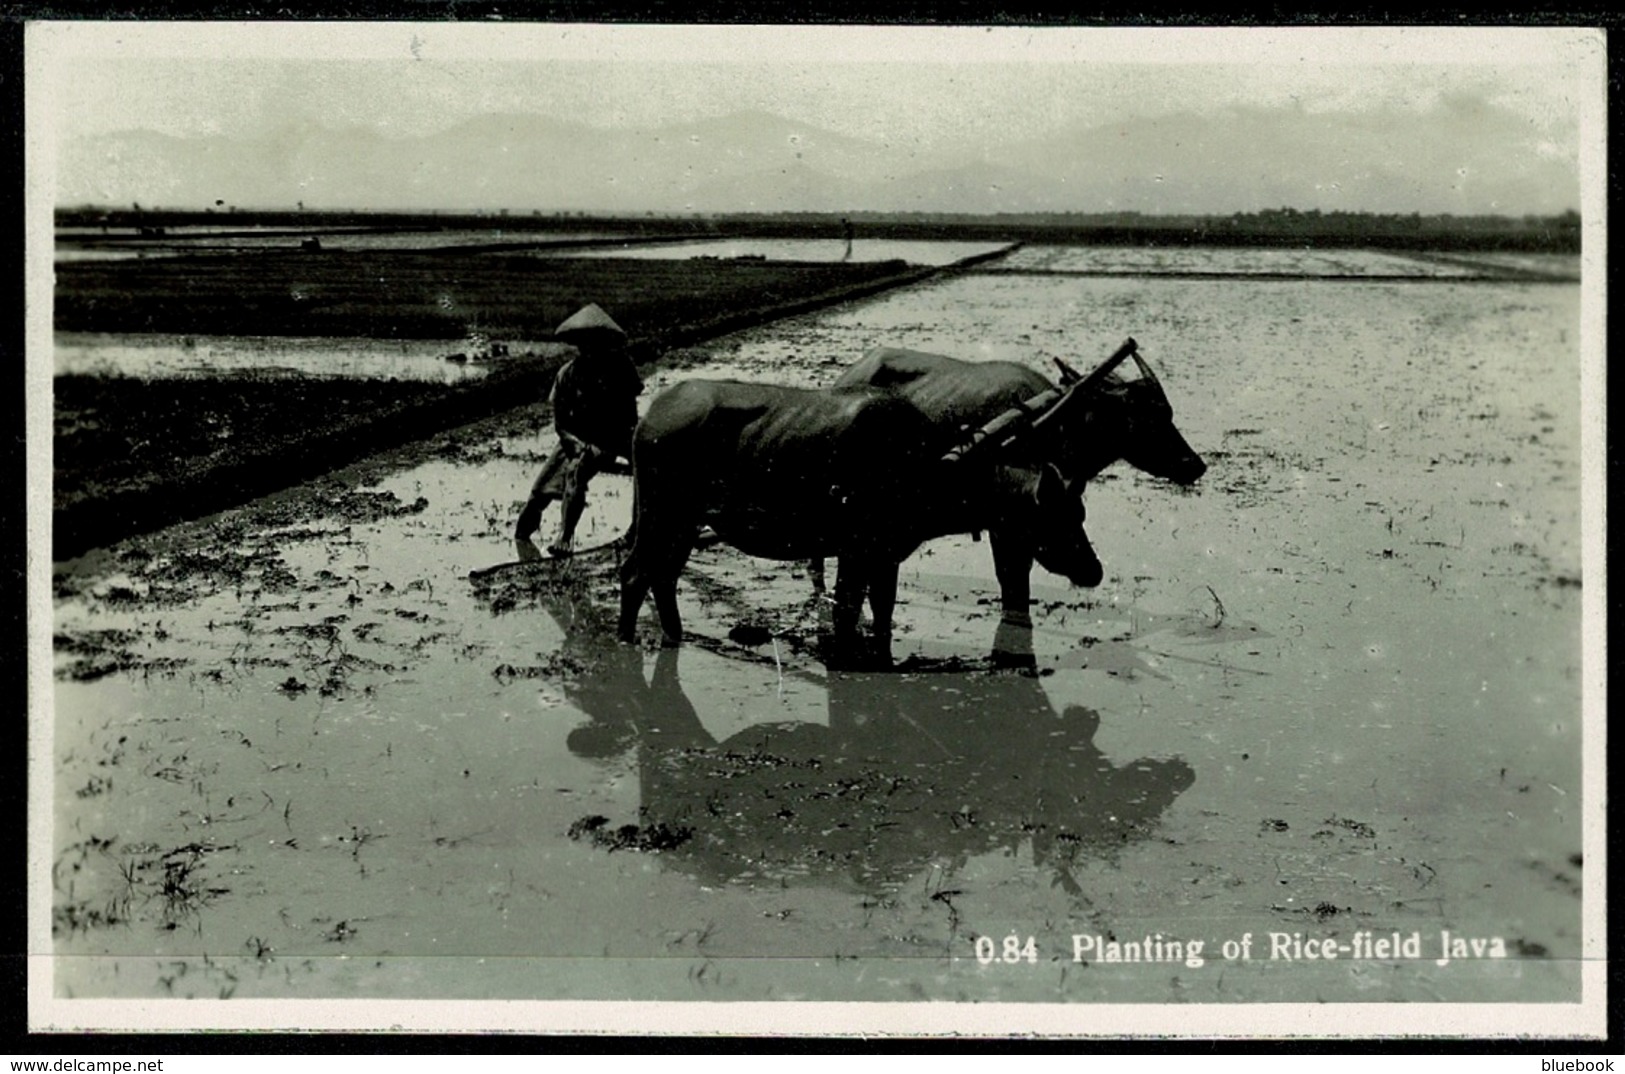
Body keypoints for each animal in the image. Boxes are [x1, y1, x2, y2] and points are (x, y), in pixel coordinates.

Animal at [614, 376, 1098, 646]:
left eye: (1081, 513)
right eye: (1056, 515)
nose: (1094, 570)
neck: (923, 466)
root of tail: (648, 419)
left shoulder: (886, 554)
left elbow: (882, 609)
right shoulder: (854, 549)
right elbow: (846, 607)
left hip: (685, 521)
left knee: (663, 574)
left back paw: (674, 635)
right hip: (664, 513)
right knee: (636, 571)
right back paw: (626, 638)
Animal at [812, 334, 1209, 620]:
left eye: (1168, 412)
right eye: (1147, 418)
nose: (1195, 464)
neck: (1048, 424)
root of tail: (849, 374)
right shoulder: (1007, 521)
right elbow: (1012, 579)